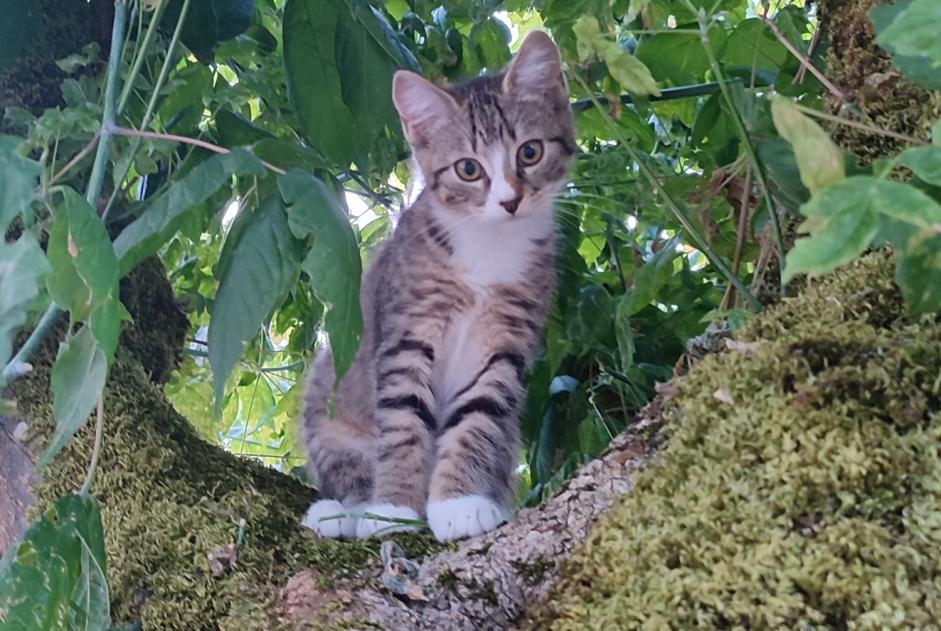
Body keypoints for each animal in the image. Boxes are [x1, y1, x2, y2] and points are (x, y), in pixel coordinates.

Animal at [300, 30, 572, 544]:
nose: (510, 200)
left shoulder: (506, 338)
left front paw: (459, 502)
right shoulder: (407, 330)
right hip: (327, 400)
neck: (486, 246)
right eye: (468, 169)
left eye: (529, 152)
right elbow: (403, 419)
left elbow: (479, 415)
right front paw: (392, 509)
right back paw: (341, 510)